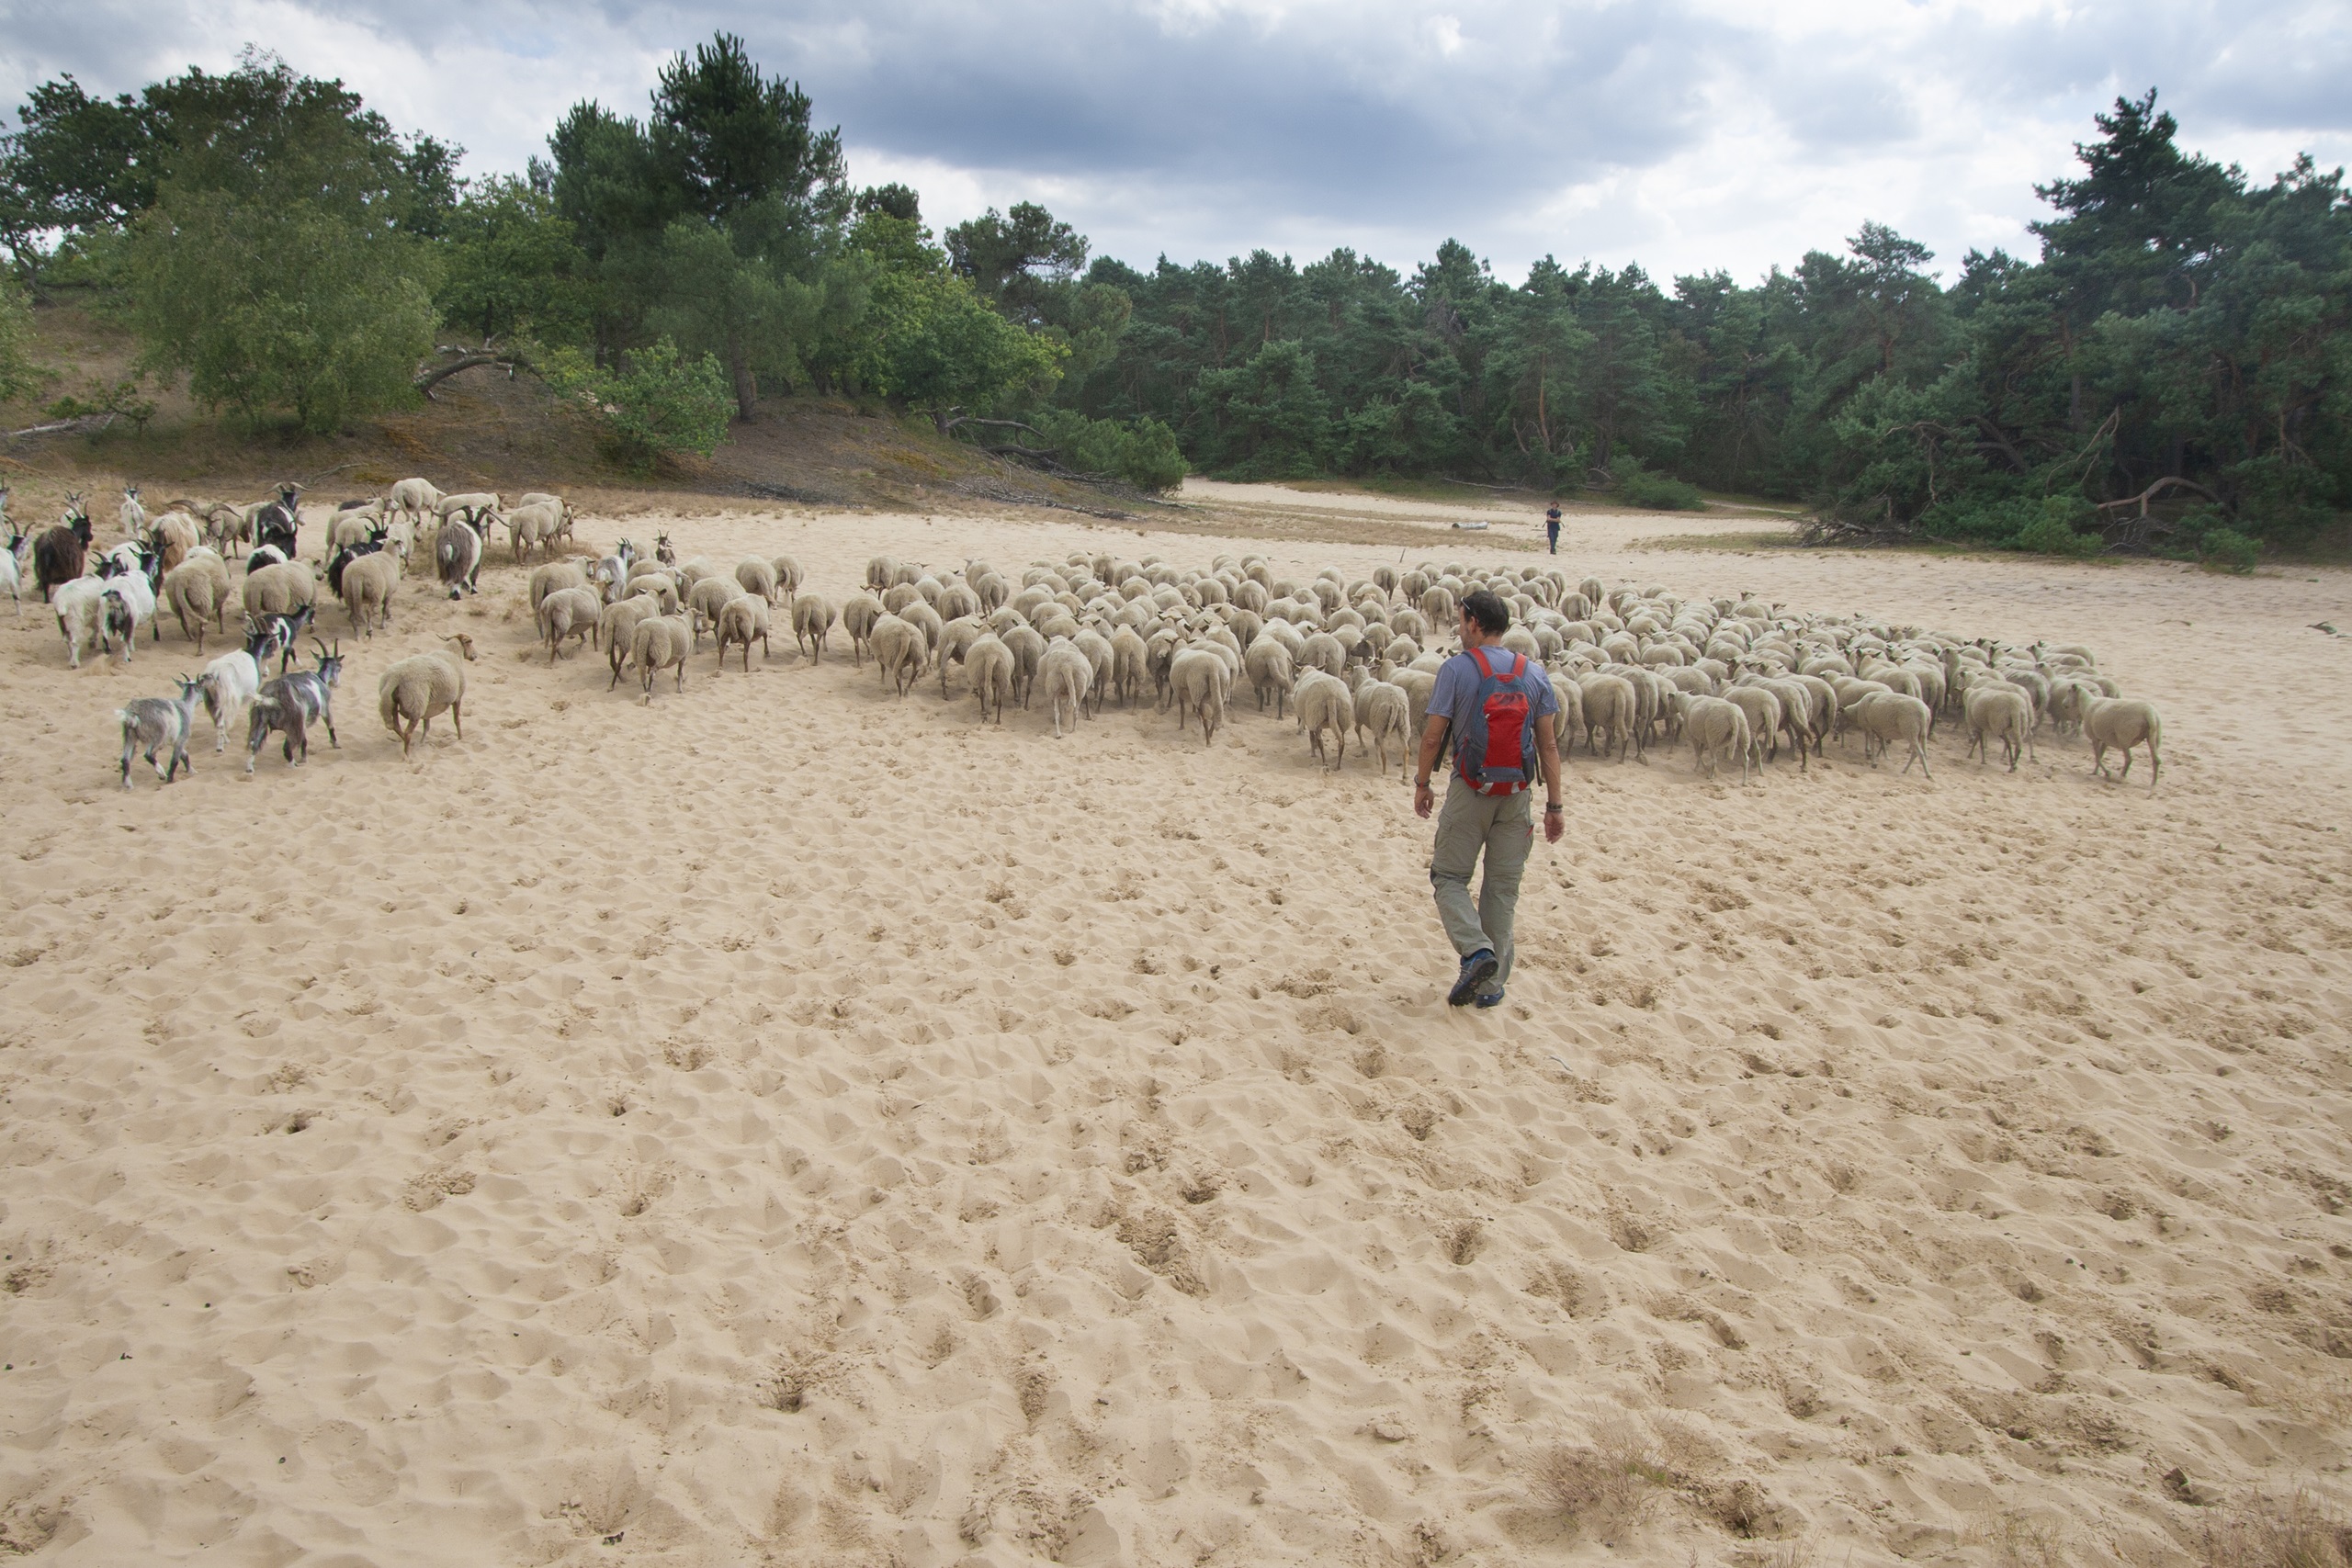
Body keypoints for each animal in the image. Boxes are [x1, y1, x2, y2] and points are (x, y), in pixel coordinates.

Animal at [371, 639, 468, 761]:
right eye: (470, 642)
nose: (475, 656)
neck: (453, 654)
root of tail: (394, 677)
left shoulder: (429, 707)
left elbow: (426, 726)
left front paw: (422, 742)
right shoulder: (457, 698)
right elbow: (457, 720)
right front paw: (460, 737)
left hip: (393, 701)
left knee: (396, 726)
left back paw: (409, 744)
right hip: (416, 705)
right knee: (407, 732)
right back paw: (407, 755)